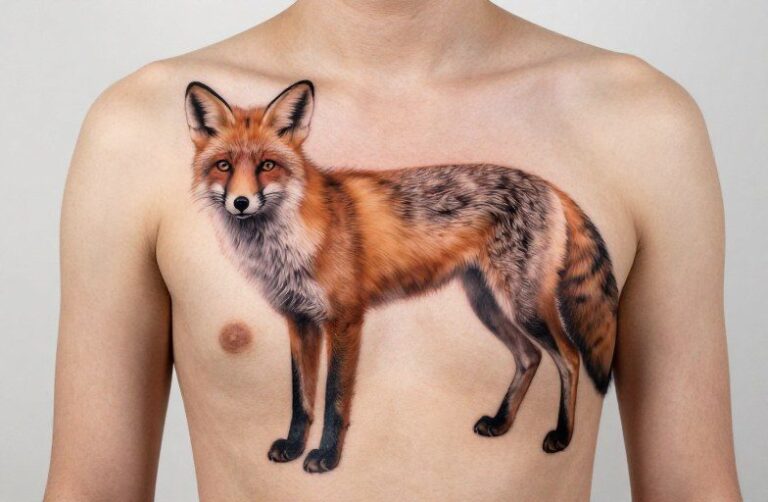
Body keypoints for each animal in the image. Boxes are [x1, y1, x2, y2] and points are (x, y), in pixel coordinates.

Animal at [184, 80, 619, 474]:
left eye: (266, 166)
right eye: (224, 166)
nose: (241, 202)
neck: (285, 245)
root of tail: (549, 185)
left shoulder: (345, 319)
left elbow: (334, 400)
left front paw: (326, 457)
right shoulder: (299, 319)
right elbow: (300, 399)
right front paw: (293, 448)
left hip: (524, 306)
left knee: (570, 357)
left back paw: (563, 436)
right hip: (486, 303)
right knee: (529, 356)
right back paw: (501, 423)